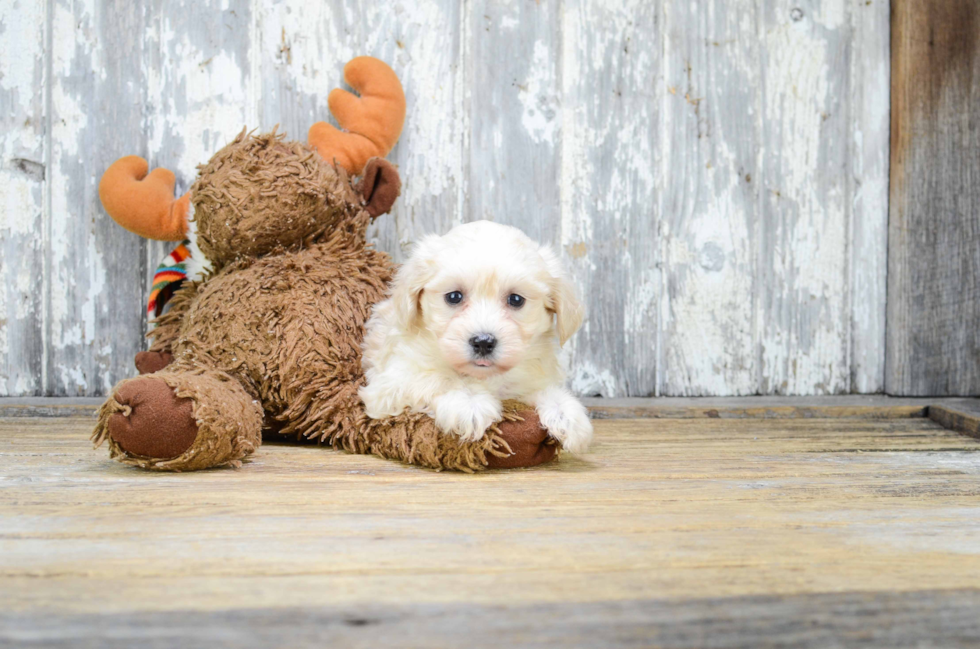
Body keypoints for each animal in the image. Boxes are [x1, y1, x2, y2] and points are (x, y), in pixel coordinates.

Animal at [358, 220, 588, 454]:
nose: (483, 342)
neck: (484, 377)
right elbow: (441, 377)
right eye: (454, 297)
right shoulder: (389, 384)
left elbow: (533, 390)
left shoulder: (525, 380)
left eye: (516, 300)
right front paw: (469, 403)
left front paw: (564, 411)